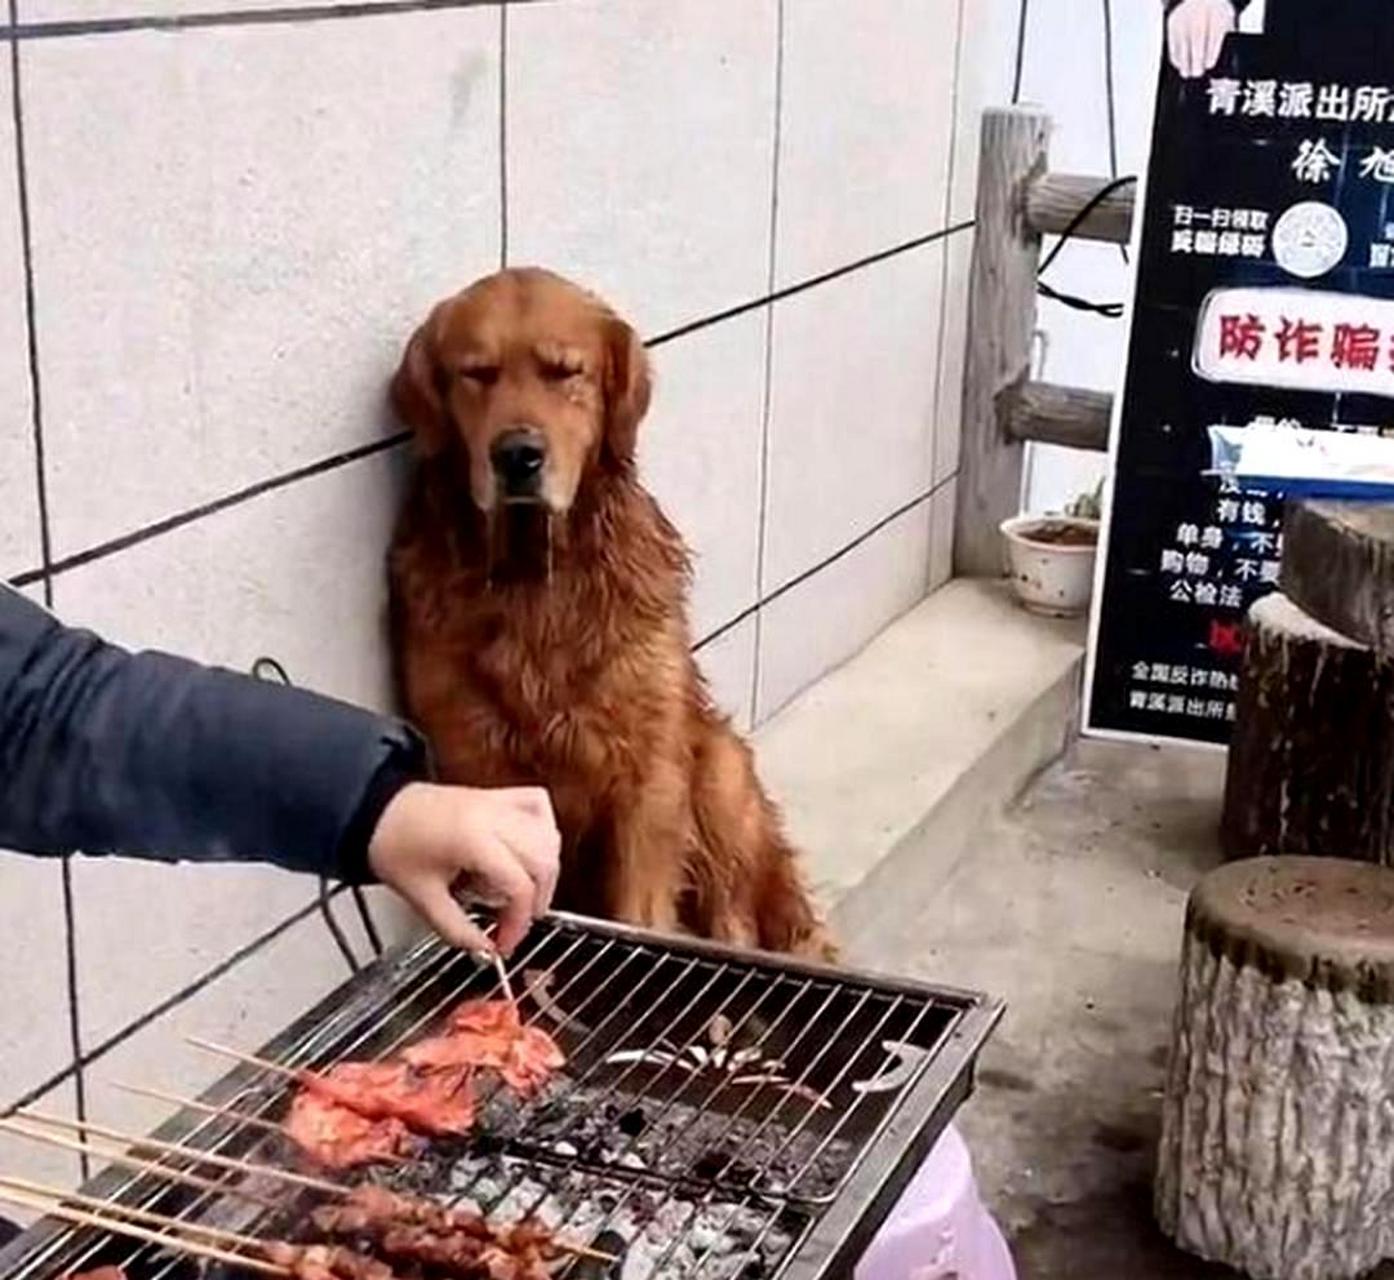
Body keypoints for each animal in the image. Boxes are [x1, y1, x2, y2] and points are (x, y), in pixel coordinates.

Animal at [387, 264, 830, 959]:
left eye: (565, 372)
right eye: (477, 373)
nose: (517, 455)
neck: (534, 580)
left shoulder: (647, 771)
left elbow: (643, 907)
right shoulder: (473, 762)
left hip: (720, 766)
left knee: (735, 914)